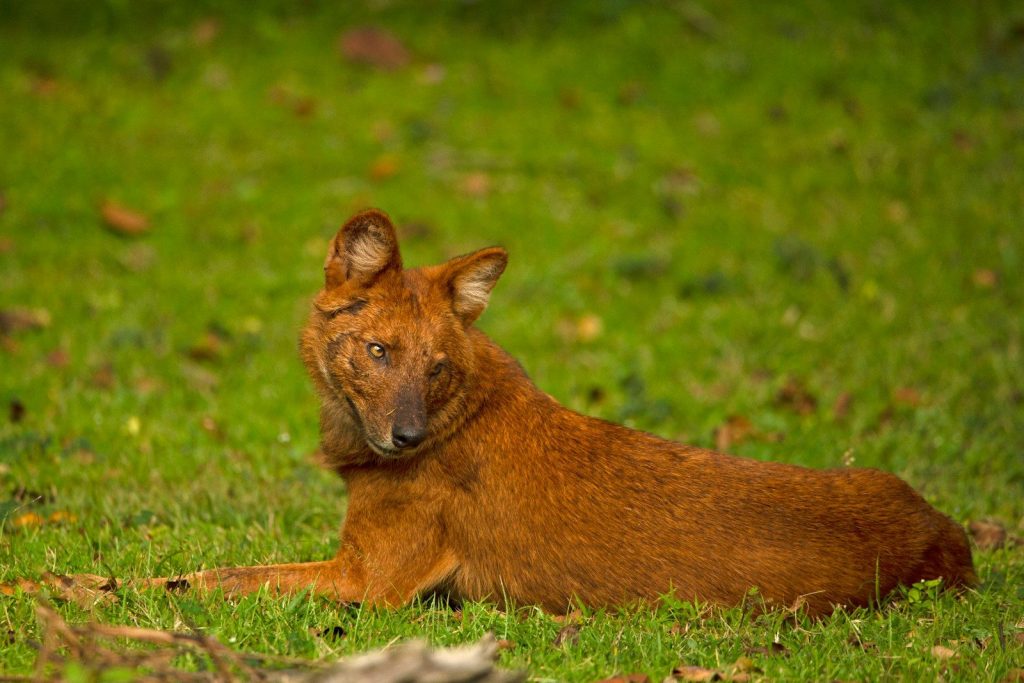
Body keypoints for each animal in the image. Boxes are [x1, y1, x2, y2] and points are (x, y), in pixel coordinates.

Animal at [38, 209, 975, 616]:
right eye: (378, 351)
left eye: (437, 365)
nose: (406, 435)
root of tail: (945, 531)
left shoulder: (367, 581)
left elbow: (205, 577)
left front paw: (55, 587)